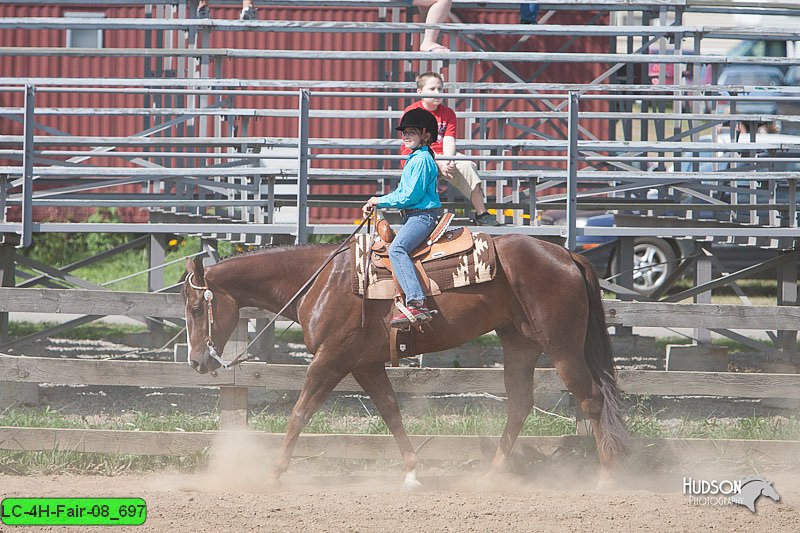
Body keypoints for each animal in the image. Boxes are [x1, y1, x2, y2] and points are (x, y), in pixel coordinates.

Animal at [183, 235, 632, 488]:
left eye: (194, 307)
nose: (197, 362)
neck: (322, 281)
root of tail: (566, 255)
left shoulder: (330, 359)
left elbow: (300, 412)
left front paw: (274, 473)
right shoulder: (364, 364)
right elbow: (391, 412)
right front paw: (413, 472)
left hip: (562, 347)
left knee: (592, 399)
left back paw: (607, 477)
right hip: (518, 343)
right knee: (520, 404)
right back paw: (489, 477)